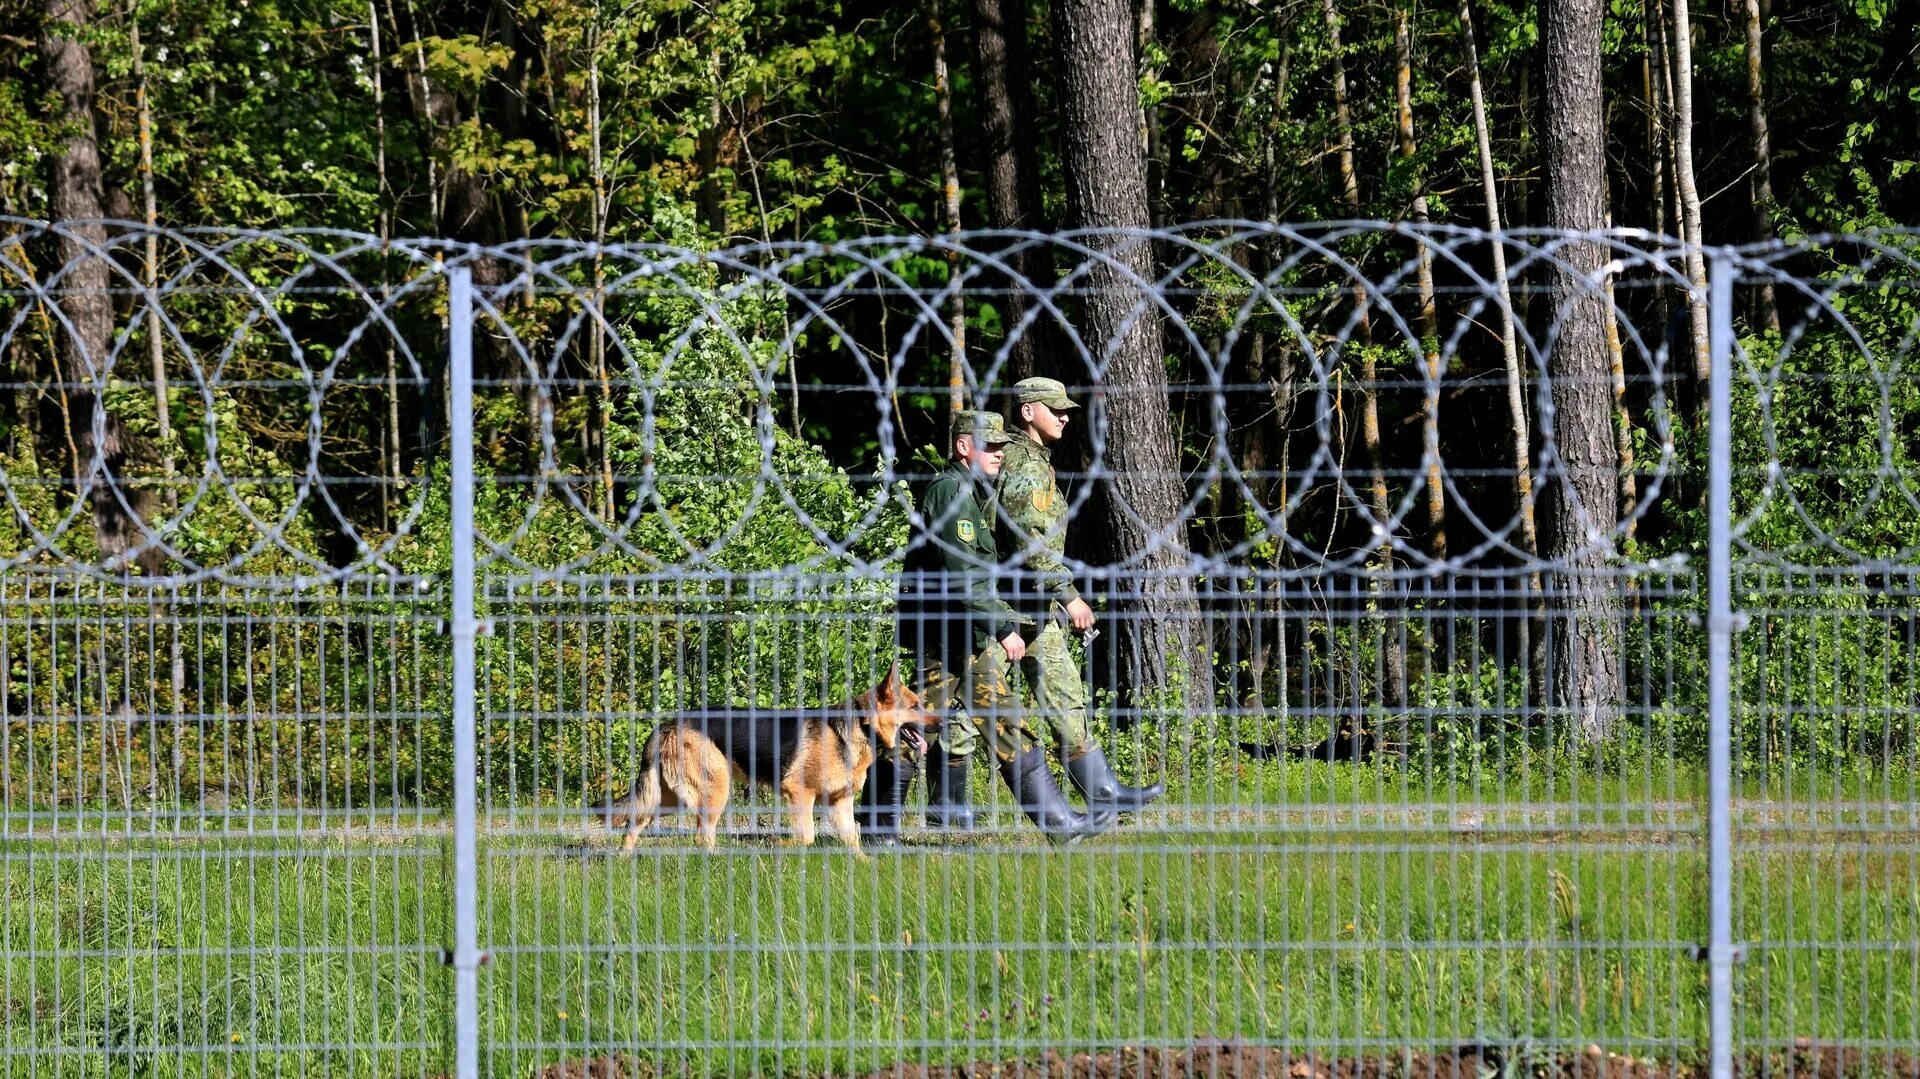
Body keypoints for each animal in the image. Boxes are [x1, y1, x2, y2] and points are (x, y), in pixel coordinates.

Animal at [595, 664, 933, 848]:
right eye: (915, 707)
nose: (941, 722)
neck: (861, 725)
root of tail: (666, 724)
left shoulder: (840, 802)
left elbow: (853, 842)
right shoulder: (798, 794)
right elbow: (806, 837)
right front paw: (779, 845)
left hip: (668, 798)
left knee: (634, 823)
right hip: (714, 793)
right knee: (703, 838)